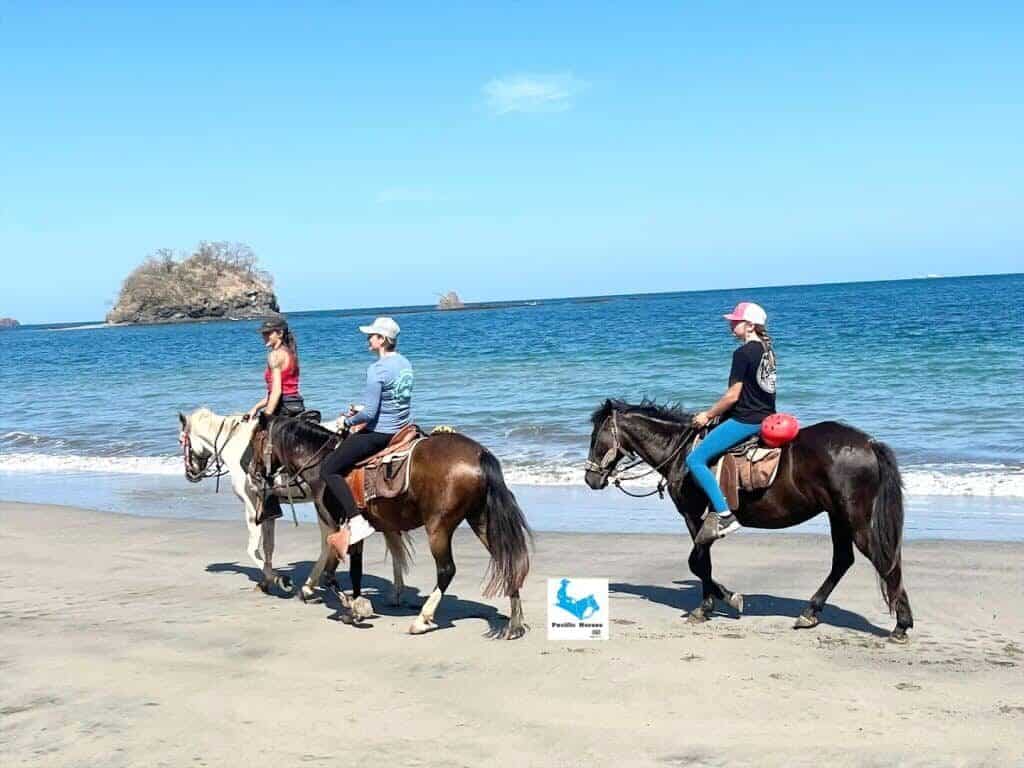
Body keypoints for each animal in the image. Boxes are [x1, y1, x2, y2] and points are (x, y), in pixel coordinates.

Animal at [252, 413, 532, 638]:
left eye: (255, 441)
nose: (254, 471)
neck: (320, 463)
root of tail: (479, 454)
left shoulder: (336, 527)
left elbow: (332, 573)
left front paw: (353, 607)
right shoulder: (358, 530)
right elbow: (355, 569)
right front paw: (356, 603)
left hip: (438, 526)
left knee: (447, 570)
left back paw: (422, 619)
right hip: (480, 519)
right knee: (507, 560)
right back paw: (515, 622)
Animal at [584, 399, 914, 642]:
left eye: (595, 437)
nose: (590, 479)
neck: (680, 452)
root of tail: (869, 443)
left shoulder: (693, 516)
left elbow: (698, 563)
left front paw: (718, 602)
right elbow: (703, 563)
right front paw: (718, 600)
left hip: (854, 519)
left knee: (884, 562)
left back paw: (901, 625)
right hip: (838, 517)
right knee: (843, 560)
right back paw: (810, 612)